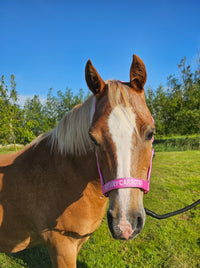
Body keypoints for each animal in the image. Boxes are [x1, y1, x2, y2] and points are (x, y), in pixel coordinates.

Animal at [0, 55, 155, 268]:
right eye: (94, 139)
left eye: (150, 133)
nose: (125, 224)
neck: (63, 175)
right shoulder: (61, 245)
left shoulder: (77, 242)